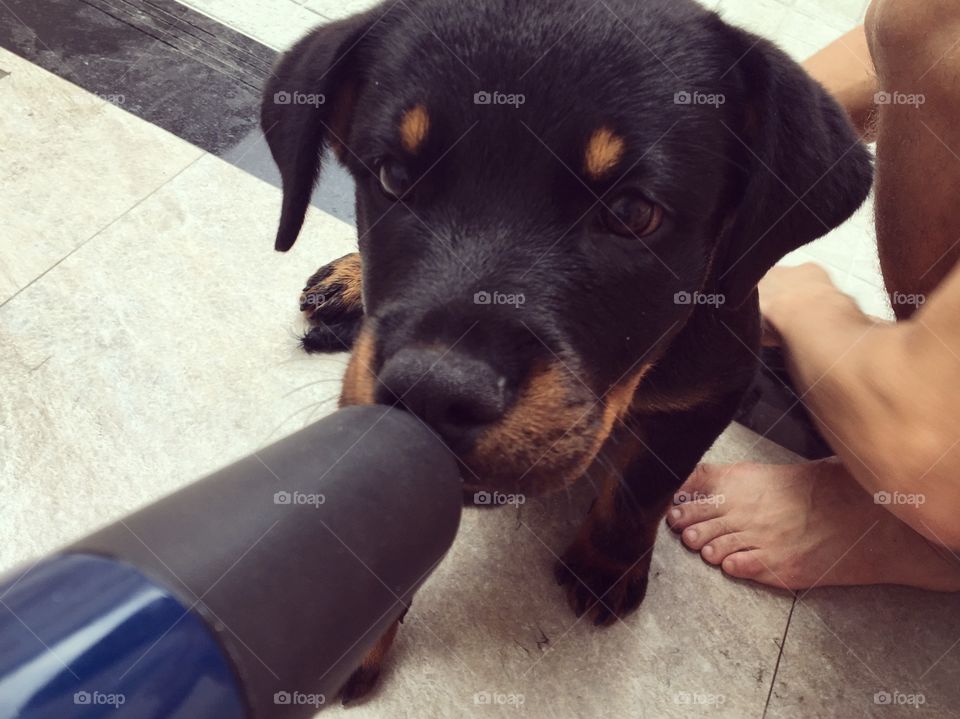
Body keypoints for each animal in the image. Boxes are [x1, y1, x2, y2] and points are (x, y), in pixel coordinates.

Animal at [258, 0, 872, 704]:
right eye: (392, 177)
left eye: (631, 212)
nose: (430, 395)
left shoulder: (716, 383)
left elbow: (644, 484)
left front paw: (606, 565)